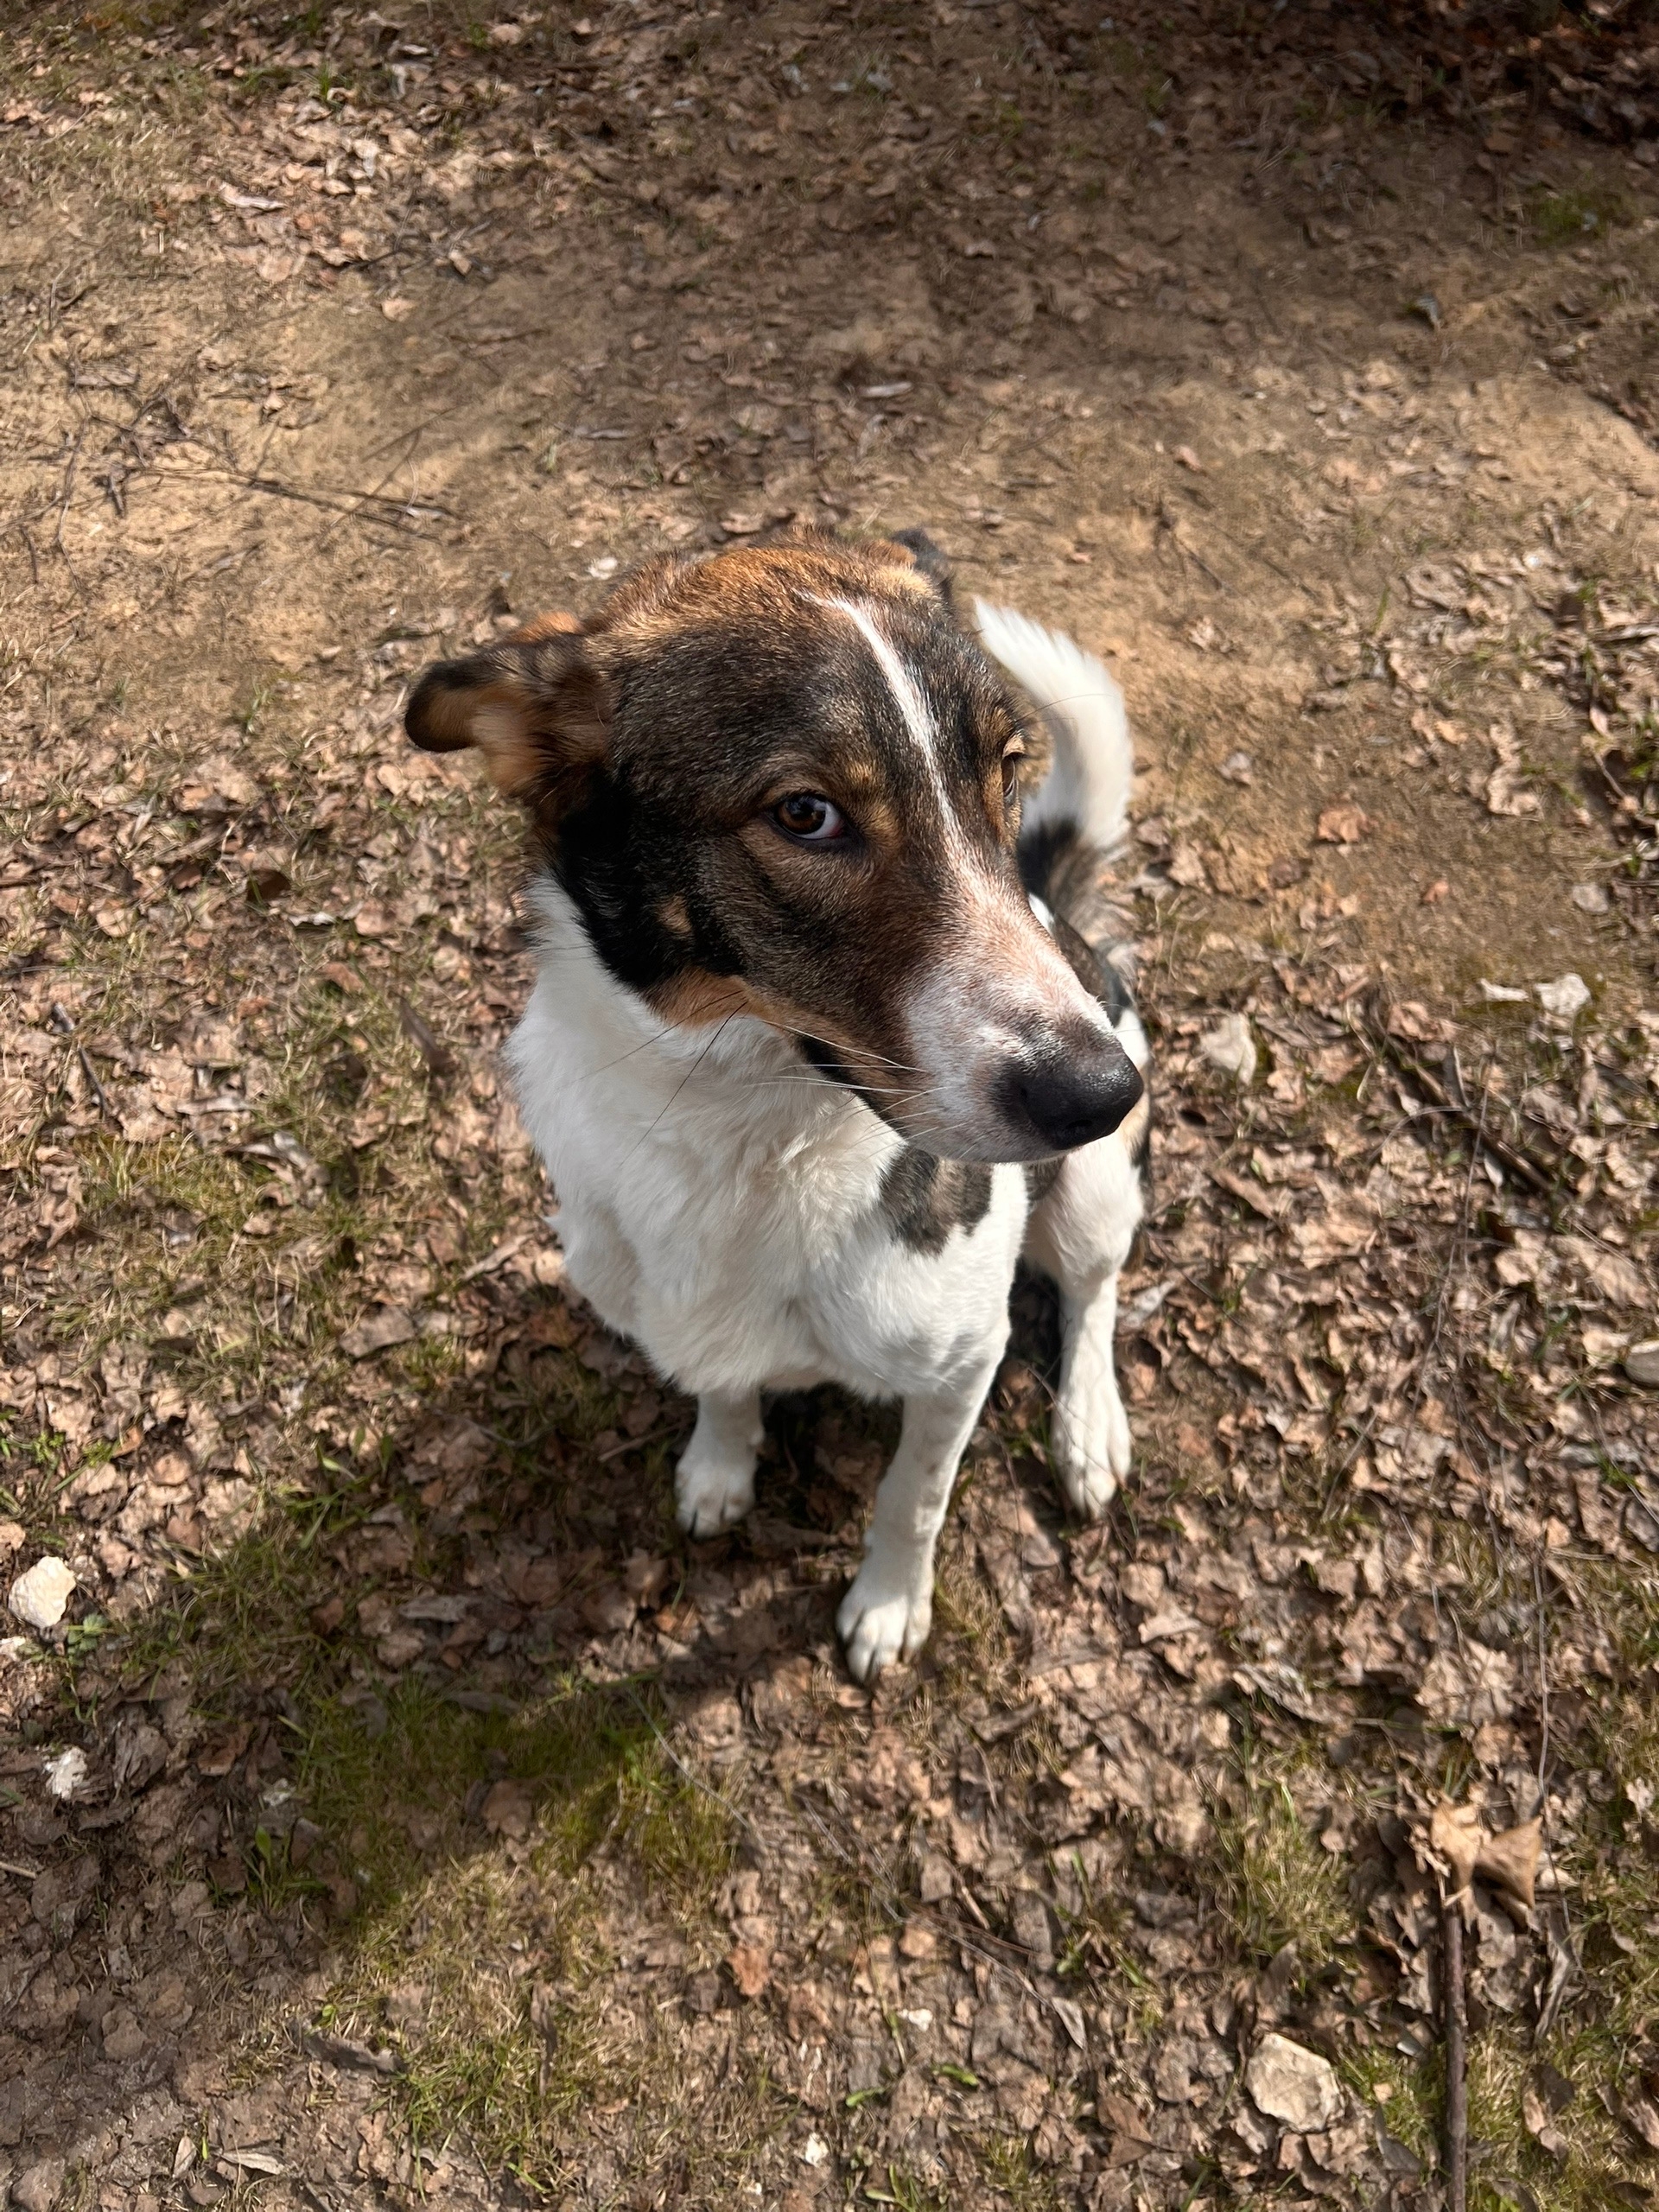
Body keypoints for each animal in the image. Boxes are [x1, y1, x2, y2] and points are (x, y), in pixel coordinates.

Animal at [406, 530, 1150, 1681]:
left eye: (1003, 771)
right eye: (806, 814)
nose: (1100, 1094)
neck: (746, 1129)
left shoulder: (961, 1364)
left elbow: (914, 1498)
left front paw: (889, 1603)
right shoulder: (683, 1315)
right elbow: (722, 1386)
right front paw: (721, 1465)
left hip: (1095, 1197)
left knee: (1093, 1290)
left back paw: (1089, 1425)